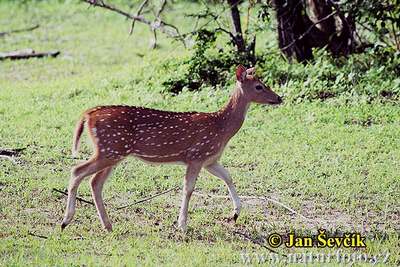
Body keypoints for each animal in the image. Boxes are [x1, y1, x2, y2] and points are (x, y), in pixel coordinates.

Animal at [61, 65, 282, 232]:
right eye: (259, 86)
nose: (279, 98)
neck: (221, 128)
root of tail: (87, 115)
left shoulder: (210, 159)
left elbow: (228, 176)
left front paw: (235, 213)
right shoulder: (196, 155)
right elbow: (188, 189)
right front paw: (182, 225)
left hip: (114, 152)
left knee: (95, 182)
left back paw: (107, 226)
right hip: (110, 149)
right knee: (77, 171)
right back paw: (66, 221)